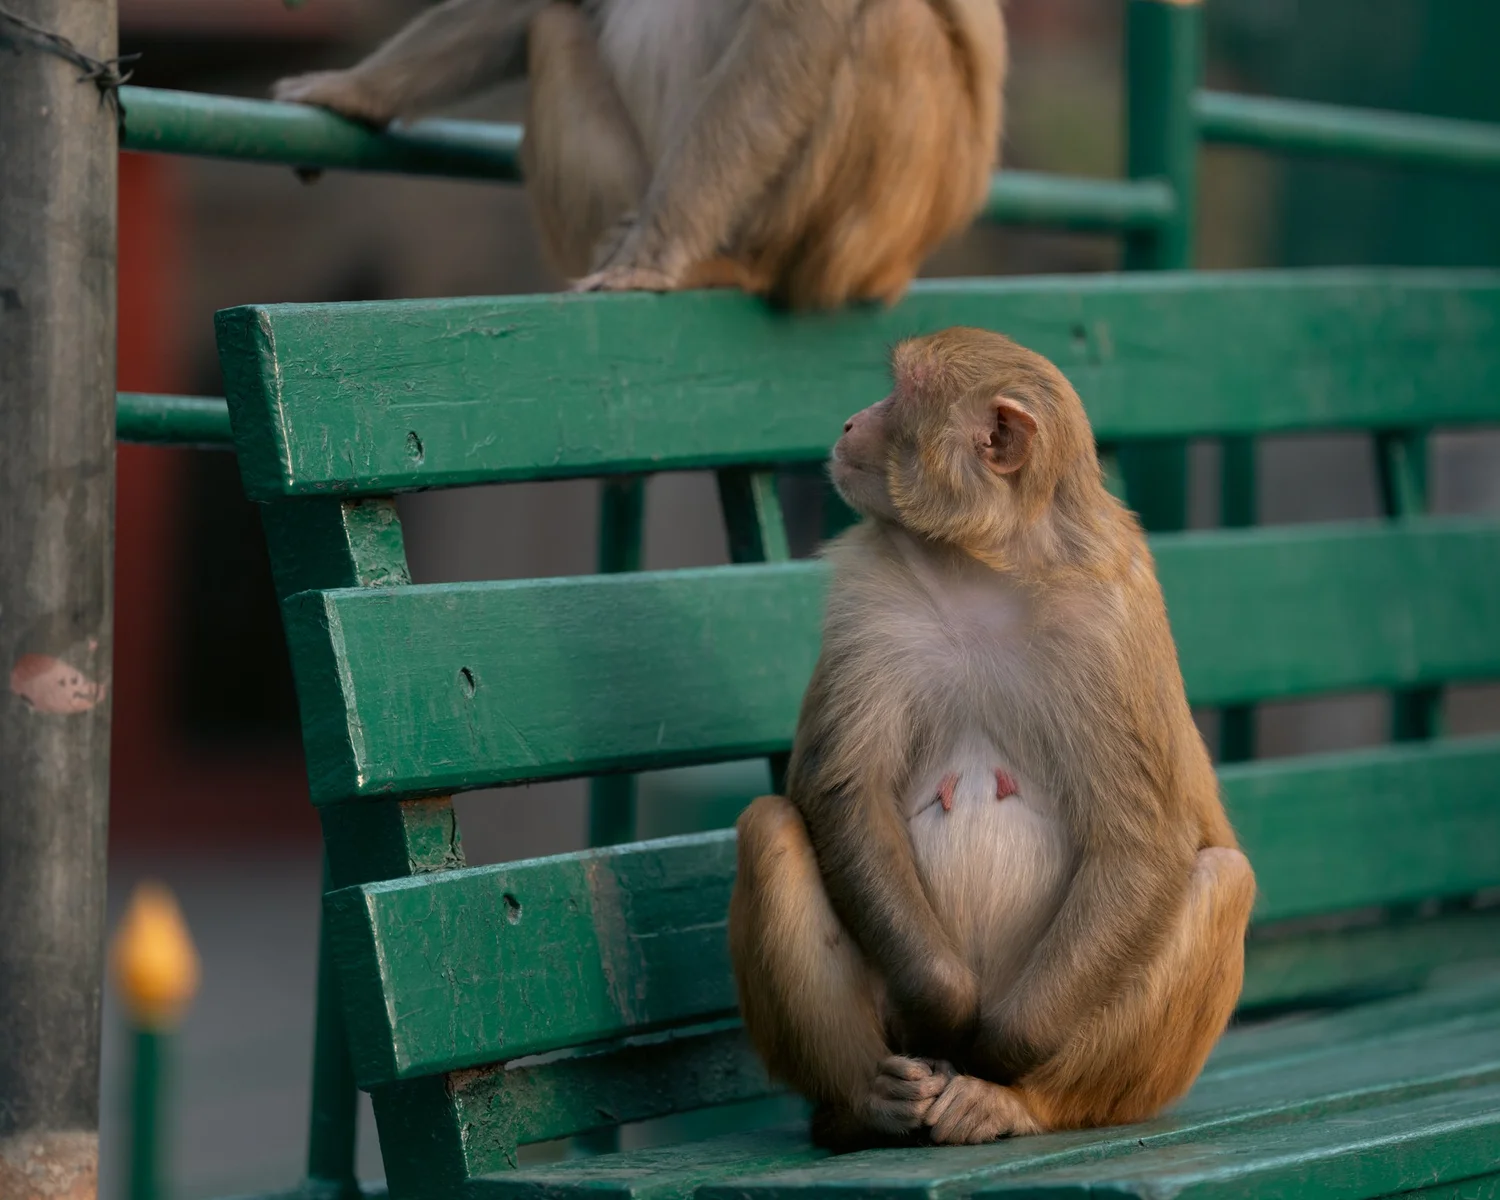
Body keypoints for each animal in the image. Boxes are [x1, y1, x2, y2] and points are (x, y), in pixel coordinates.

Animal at [271, 0, 1006, 309]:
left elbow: (795, 28)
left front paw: (655, 254)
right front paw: (353, 90)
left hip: (880, 227)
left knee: (893, 22)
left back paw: (740, 264)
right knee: (553, 27)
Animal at [728, 328, 1257, 1147]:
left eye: (901, 395)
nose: (851, 422)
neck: (985, 563)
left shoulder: (1113, 619)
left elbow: (1140, 842)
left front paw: (997, 1050)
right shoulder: (871, 598)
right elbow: (844, 789)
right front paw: (944, 1009)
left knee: (1222, 880)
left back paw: (1020, 1102)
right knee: (772, 830)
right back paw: (864, 1105)